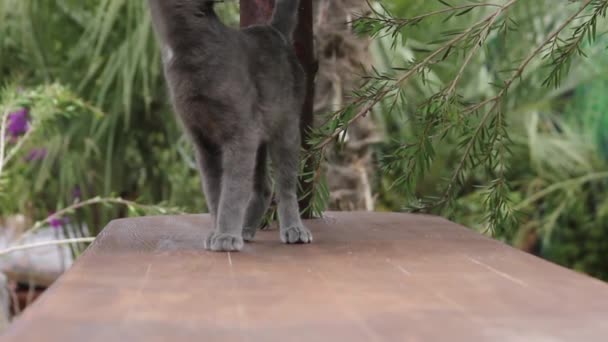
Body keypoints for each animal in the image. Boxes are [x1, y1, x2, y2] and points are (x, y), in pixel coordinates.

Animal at [148, 0, 314, 251]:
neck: (188, 45)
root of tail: (274, 30)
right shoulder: (204, 143)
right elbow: (214, 192)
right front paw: (217, 232)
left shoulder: (240, 134)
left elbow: (232, 190)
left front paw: (225, 236)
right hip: (259, 135)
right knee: (264, 186)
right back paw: (246, 229)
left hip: (285, 127)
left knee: (285, 186)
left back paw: (294, 229)